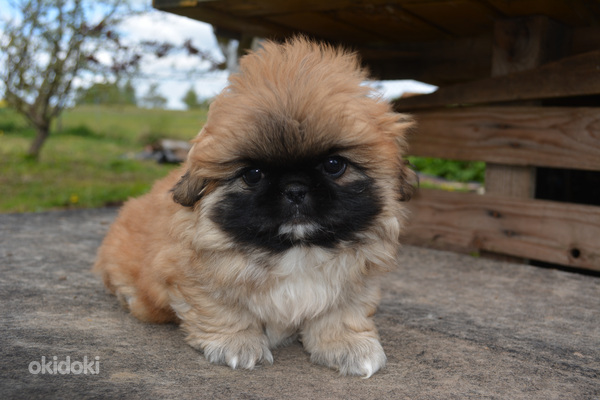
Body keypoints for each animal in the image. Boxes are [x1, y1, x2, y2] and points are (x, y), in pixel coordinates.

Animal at [94, 36, 414, 376]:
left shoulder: (356, 280)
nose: (295, 189)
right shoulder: (194, 277)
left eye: (334, 165)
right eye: (252, 174)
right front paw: (238, 344)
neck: (295, 250)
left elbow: (341, 313)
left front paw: (348, 346)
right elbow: (223, 309)